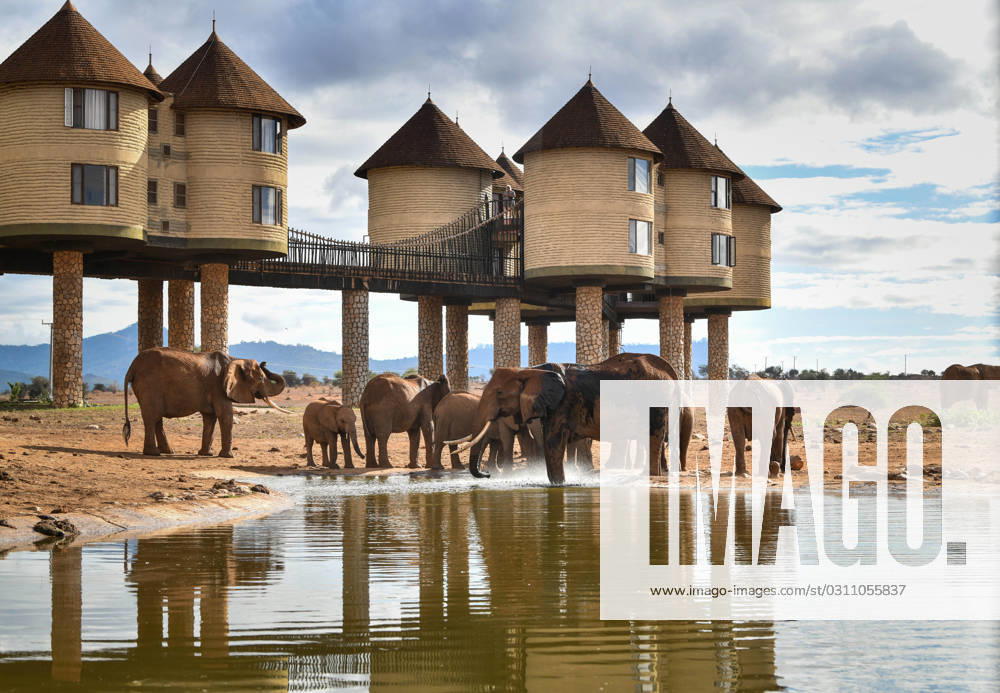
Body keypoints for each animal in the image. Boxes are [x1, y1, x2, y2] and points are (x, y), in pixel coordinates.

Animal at [122, 347, 287, 457]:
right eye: (260, 379)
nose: (264, 362)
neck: (235, 359)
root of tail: (132, 366)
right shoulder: (219, 387)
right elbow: (225, 415)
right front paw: (228, 456)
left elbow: (210, 418)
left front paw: (206, 454)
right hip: (150, 385)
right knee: (152, 416)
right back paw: (153, 453)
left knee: (156, 418)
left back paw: (168, 452)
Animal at [452, 353, 691, 484]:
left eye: (499, 393)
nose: (487, 475)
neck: (529, 371)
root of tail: (671, 373)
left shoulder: (562, 404)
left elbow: (553, 444)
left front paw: (559, 485)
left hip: (656, 401)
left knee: (653, 437)